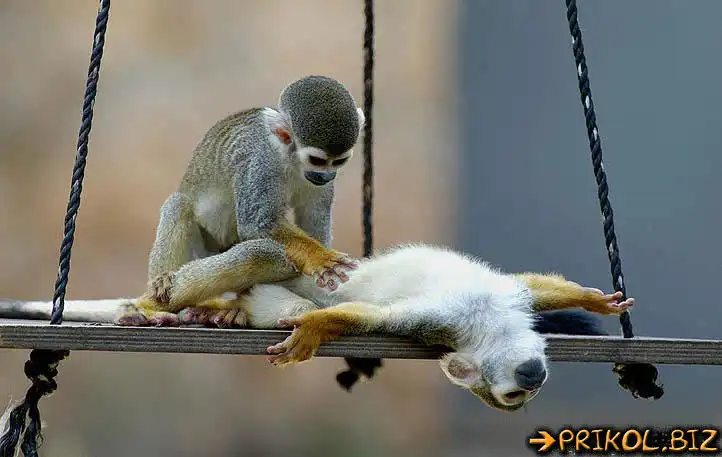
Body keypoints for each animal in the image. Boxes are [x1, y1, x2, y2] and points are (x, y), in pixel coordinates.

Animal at [0, 241, 634, 412]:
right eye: (510, 396)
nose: (531, 382)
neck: (489, 328)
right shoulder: (442, 318)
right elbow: (373, 317)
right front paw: (315, 329)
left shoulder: (501, 300)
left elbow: (528, 285)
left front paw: (591, 302)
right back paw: (171, 306)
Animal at [123, 75, 366, 326]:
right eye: (317, 160)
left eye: (338, 161)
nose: (326, 176)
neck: (289, 159)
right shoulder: (260, 165)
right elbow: (256, 224)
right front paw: (319, 256)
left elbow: (313, 223)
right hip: (205, 250)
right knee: (179, 205)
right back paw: (157, 296)